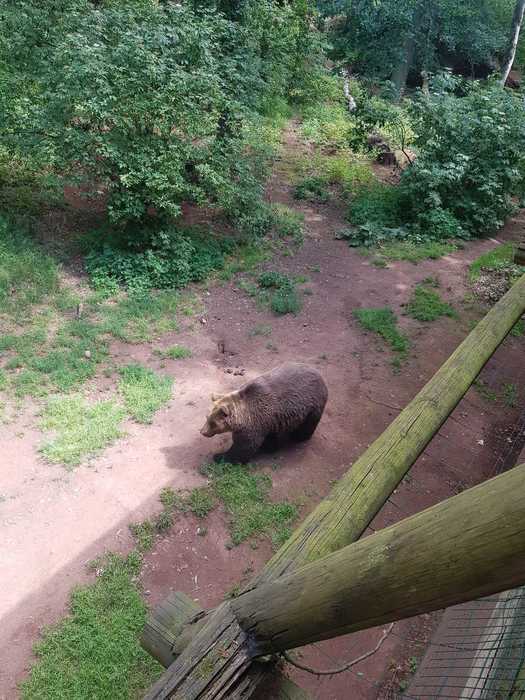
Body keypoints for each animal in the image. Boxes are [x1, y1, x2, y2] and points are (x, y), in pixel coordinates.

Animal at [200, 362, 328, 464]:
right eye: (206, 417)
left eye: (213, 423)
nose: (202, 432)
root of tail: (318, 373)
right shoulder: (270, 420)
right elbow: (269, 437)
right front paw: (269, 446)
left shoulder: (253, 423)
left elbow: (243, 447)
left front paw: (219, 456)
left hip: (312, 405)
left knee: (308, 425)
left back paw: (298, 437)